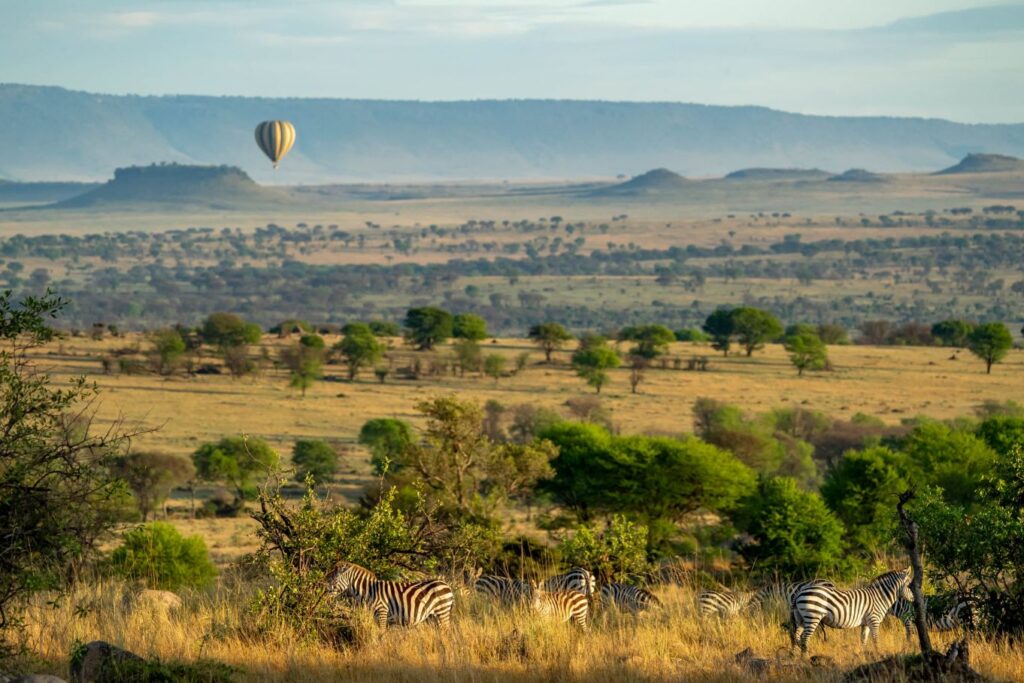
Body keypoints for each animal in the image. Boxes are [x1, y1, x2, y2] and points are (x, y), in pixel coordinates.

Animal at [327, 561, 456, 630]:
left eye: (334, 580)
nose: (326, 592)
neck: (369, 591)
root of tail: (446, 585)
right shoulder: (375, 617)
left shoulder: (382, 612)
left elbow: (381, 635)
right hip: (433, 616)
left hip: (442, 612)